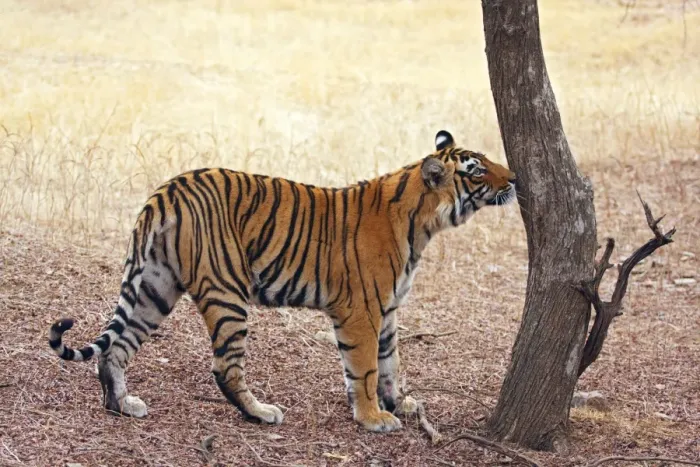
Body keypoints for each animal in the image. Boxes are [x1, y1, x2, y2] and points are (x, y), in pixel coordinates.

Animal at [48, 130, 516, 432]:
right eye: (476, 171)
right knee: (224, 367)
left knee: (116, 348)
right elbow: (365, 368)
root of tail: (166, 192)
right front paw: (373, 418)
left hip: (154, 287)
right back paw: (260, 413)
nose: (513, 178)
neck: (423, 223)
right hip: (227, 293)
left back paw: (121, 405)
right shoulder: (362, 311)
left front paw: (398, 403)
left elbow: (390, 364)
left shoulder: (388, 310)